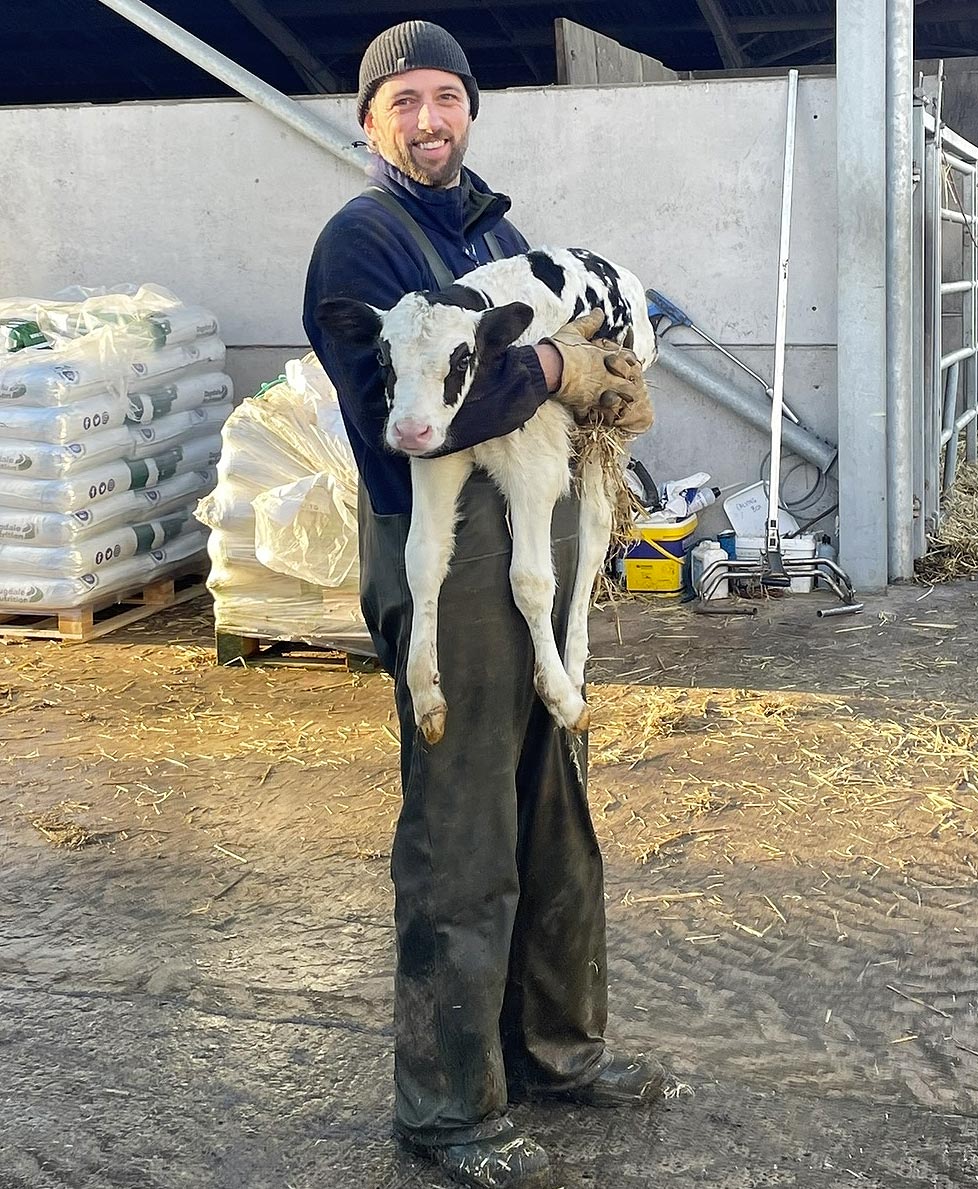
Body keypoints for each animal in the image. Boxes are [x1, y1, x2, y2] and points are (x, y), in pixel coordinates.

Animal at [318, 244, 655, 741]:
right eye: (382, 358)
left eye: (462, 358)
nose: (409, 431)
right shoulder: (436, 460)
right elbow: (421, 561)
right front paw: (425, 696)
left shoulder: (534, 466)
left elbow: (530, 579)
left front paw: (560, 698)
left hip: (604, 431)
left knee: (593, 535)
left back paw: (574, 667)